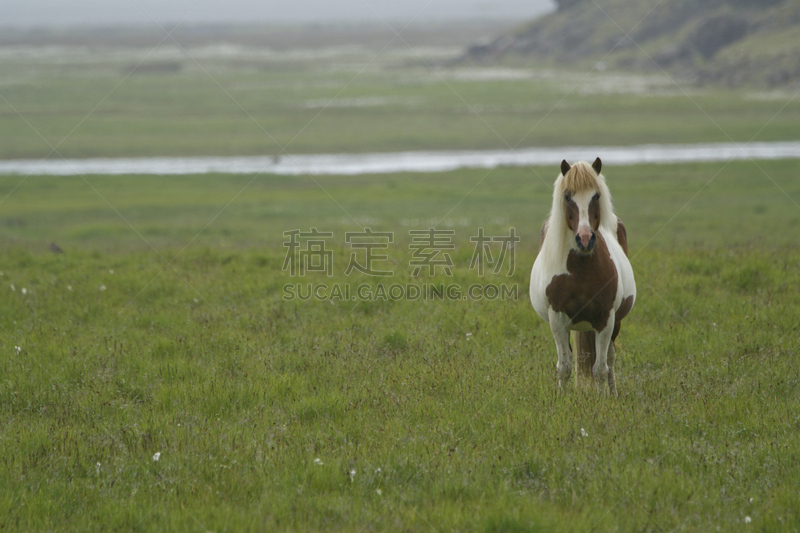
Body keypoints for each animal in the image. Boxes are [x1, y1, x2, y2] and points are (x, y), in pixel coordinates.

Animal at [532, 156, 636, 392]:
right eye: (567, 196)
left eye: (596, 195)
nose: (585, 239)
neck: (580, 269)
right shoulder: (557, 318)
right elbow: (564, 367)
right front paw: (560, 397)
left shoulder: (605, 318)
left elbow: (600, 369)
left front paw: (602, 398)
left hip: (616, 322)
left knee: (610, 359)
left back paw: (613, 393)